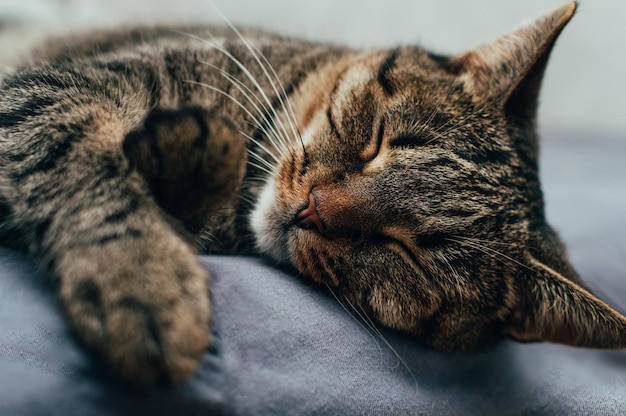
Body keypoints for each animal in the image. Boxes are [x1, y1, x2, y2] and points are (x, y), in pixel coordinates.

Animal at [1, 0, 624, 384]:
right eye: (376, 142)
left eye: (406, 251)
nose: (311, 209)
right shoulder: (53, 90)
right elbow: (82, 160)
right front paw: (140, 277)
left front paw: (185, 173)